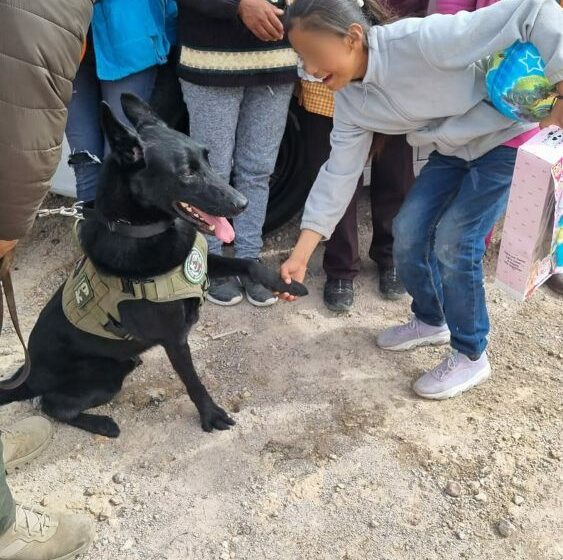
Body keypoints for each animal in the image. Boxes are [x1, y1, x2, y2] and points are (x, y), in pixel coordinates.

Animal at [0, 95, 306, 438]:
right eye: (187, 173)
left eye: (207, 159)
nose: (243, 203)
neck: (145, 231)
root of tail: (28, 374)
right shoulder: (175, 339)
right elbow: (193, 381)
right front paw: (211, 415)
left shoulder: (198, 265)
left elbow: (247, 264)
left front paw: (288, 283)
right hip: (104, 376)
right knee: (52, 405)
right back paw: (103, 424)